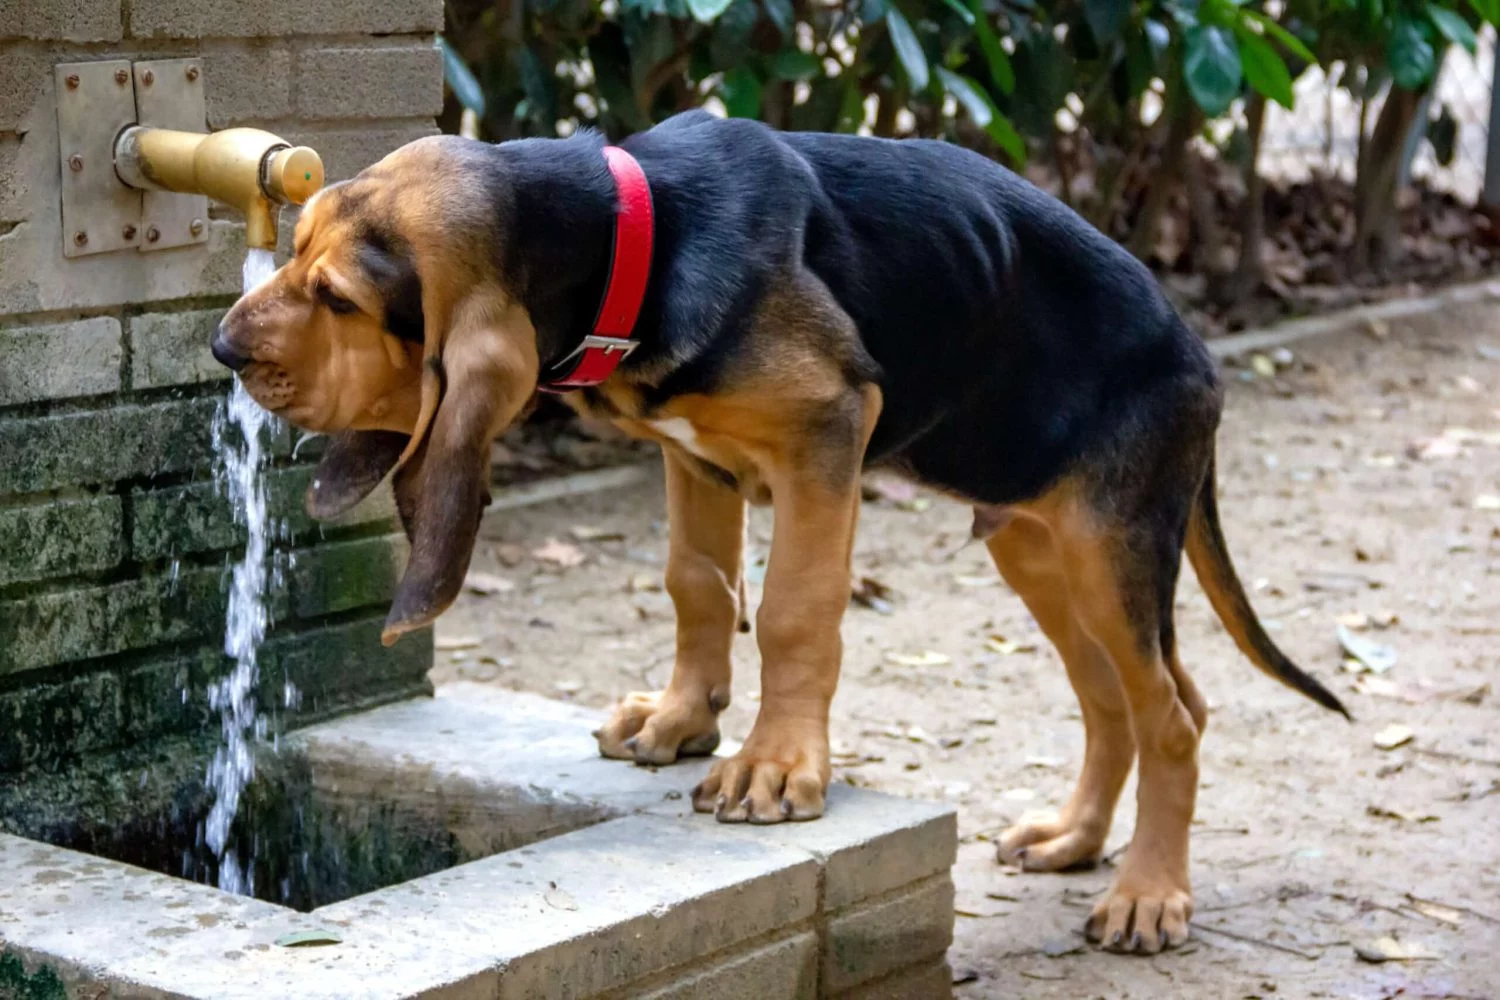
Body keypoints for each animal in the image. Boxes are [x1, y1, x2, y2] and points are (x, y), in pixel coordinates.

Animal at [214, 109, 1350, 953]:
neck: (639, 232)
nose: (223, 347)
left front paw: (773, 765)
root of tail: (1196, 352)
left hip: (1111, 542)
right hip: (1037, 539)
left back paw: (1149, 896)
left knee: (1175, 716)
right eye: (293, 247)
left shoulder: (825, 437)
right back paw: (1074, 838)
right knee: (1121, 697)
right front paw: (680, 720)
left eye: (337, 297)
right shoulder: (693, 460)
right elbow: (697, 585)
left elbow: (797, 612)